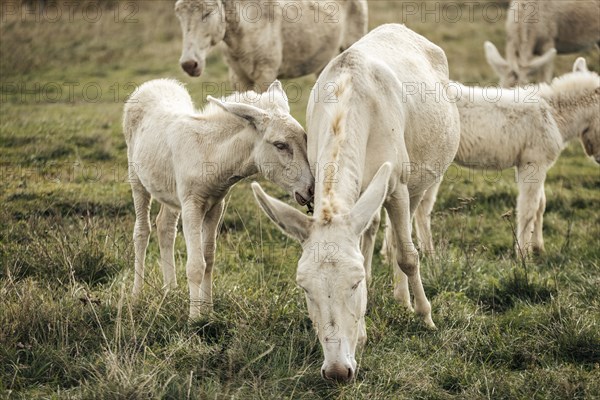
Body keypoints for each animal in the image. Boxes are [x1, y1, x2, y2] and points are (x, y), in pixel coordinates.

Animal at [122, 79, 314, 320]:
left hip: (169, 191)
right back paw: (136, 295)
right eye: (280, 145)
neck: (210, 153)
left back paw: (171, 291)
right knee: (142, 232)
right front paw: (194, 319)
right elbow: (195, 265)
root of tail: (154, 83)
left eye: (306, 138)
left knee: (165, 226)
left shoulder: (215, 205)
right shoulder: (192, 204)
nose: (312, 189)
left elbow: (209, 260)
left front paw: (209, 311)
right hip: (136, 177)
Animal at [248, 24, 460, 382]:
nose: (337, 371)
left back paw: (404, 299)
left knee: (402, 234)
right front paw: (361, 334)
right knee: (372, 226)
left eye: (355, 283)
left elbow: (408, 256)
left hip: (419, 180)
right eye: (304, 289)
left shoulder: (397, 185)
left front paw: (425, 316)